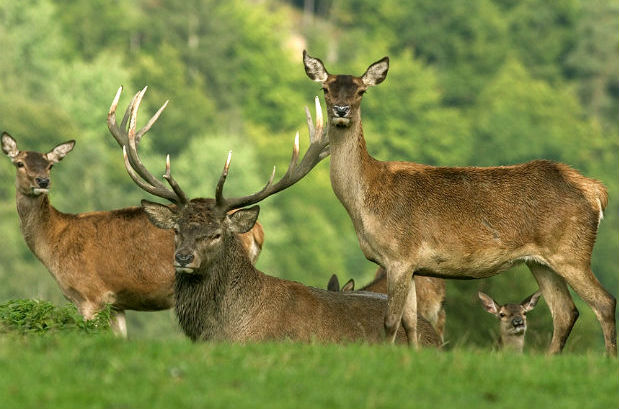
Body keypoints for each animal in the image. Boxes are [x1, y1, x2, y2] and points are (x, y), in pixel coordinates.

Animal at [0, 85, 264, 334]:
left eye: (50, 165)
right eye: (19, 163)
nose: (42, 181)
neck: (55, 242)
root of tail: (258, 230)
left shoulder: (90, 296)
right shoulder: (116, 305)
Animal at [304, 50, 616, 354]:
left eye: (360, 91)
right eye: (325, 88)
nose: (340, 110)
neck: (365, 205)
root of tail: (596, 191)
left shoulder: (399, 256)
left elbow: (391, 322)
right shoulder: (411, 265)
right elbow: (411, 323)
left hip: (571, 252)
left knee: (604, 302)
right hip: (541, 261)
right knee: (565, 311)